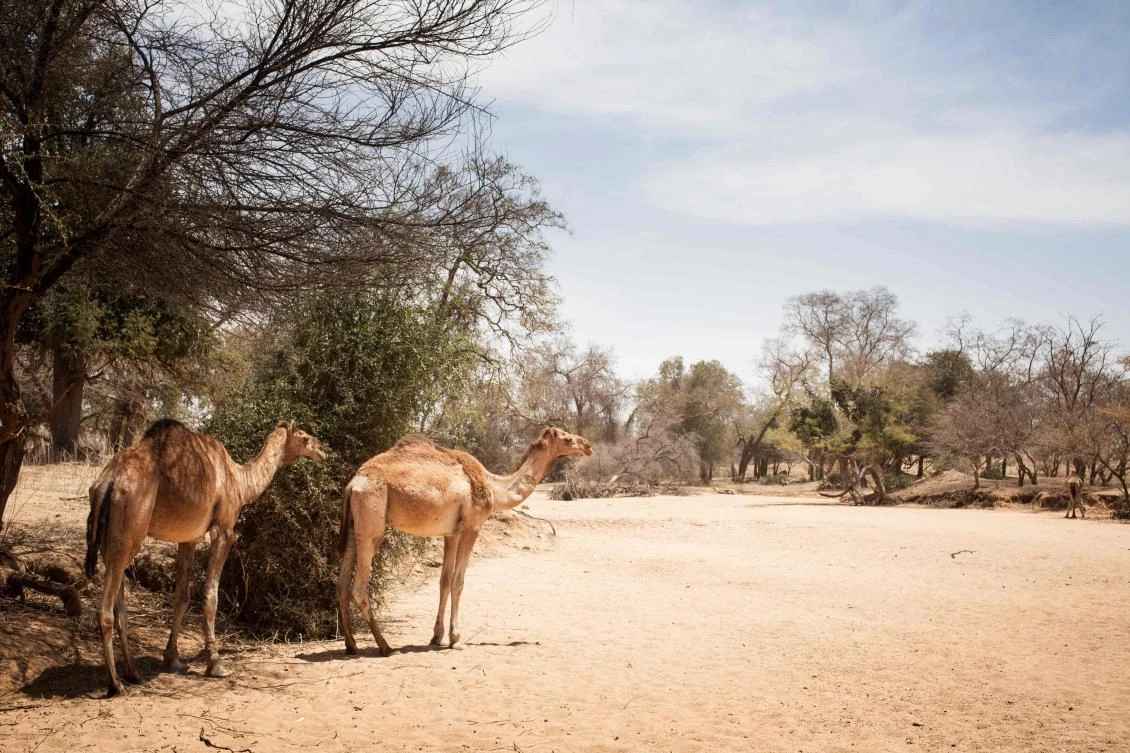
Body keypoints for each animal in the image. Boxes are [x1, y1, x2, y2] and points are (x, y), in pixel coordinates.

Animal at [84, 418, 325, 696]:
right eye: (304, 436)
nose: (322, 448)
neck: (239, 480)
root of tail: (107, 483)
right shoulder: (224, 529)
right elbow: (211, 596)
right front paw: (216, 664)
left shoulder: (189, 537)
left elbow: (181, 597)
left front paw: (173, 660)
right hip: (129, 527)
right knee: (105, 610)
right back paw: (116, 685)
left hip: (111, 538)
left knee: (119, 607)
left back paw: (133, 674)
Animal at [337, 425, 592, 655]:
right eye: (567, 438)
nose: (587, 446)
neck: (494, 487)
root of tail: (353, 484)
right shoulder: (472, 526)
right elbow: (458, 582)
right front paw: (456, 639)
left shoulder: (452, 533)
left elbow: (444, 580)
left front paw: (437, 636)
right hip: (371, 521)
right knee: (359, 587)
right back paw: (386, 646)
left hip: (353, 526)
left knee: (342, 584)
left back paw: (351, 645)